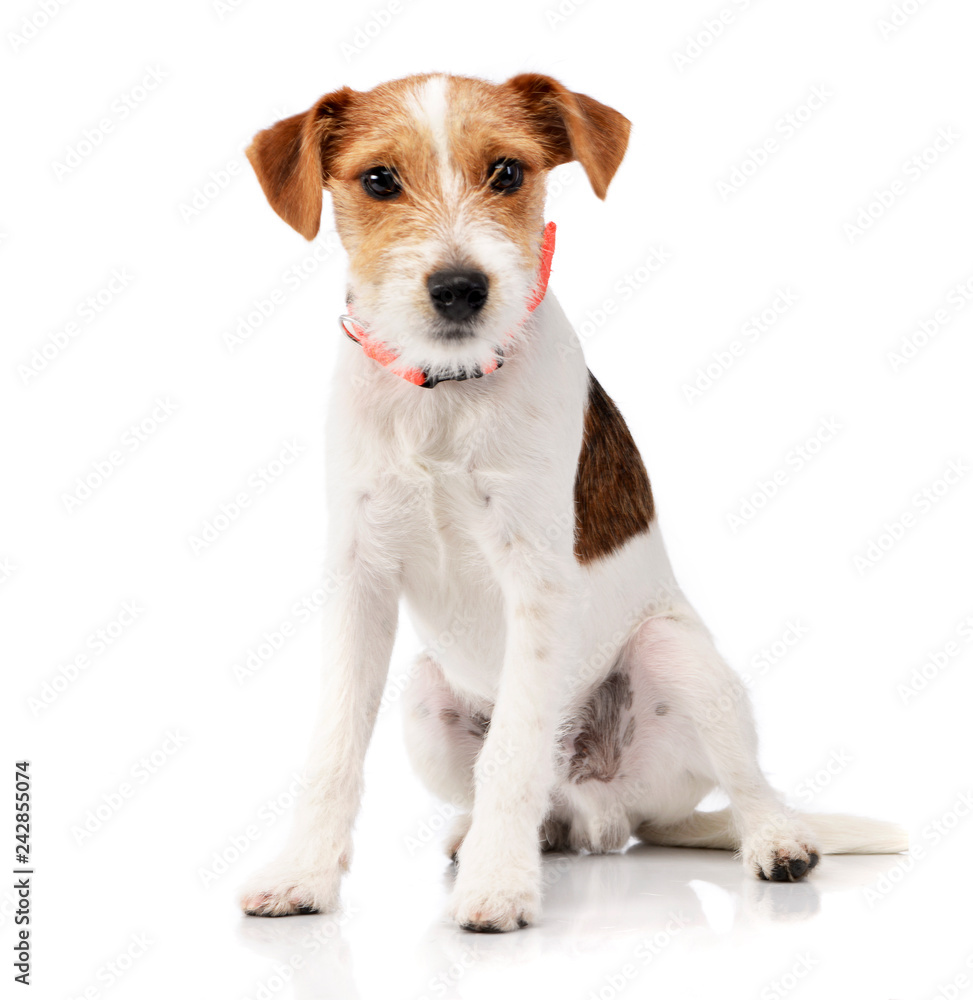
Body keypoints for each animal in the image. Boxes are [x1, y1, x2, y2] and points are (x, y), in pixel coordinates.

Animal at [239, 70, 908, 928]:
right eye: (379, 180)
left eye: (507, 172)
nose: (460, 289)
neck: (446, 393)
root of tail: (612, 814)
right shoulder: (360, 576)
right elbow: (332, 751)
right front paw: (304, 875)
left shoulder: (534, 577)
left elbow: (511, 755)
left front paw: (498, 886)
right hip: (425, 696)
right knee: (540, 804)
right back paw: (497, 837)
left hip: (677, 658)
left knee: (747, 786)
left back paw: (776, 842)